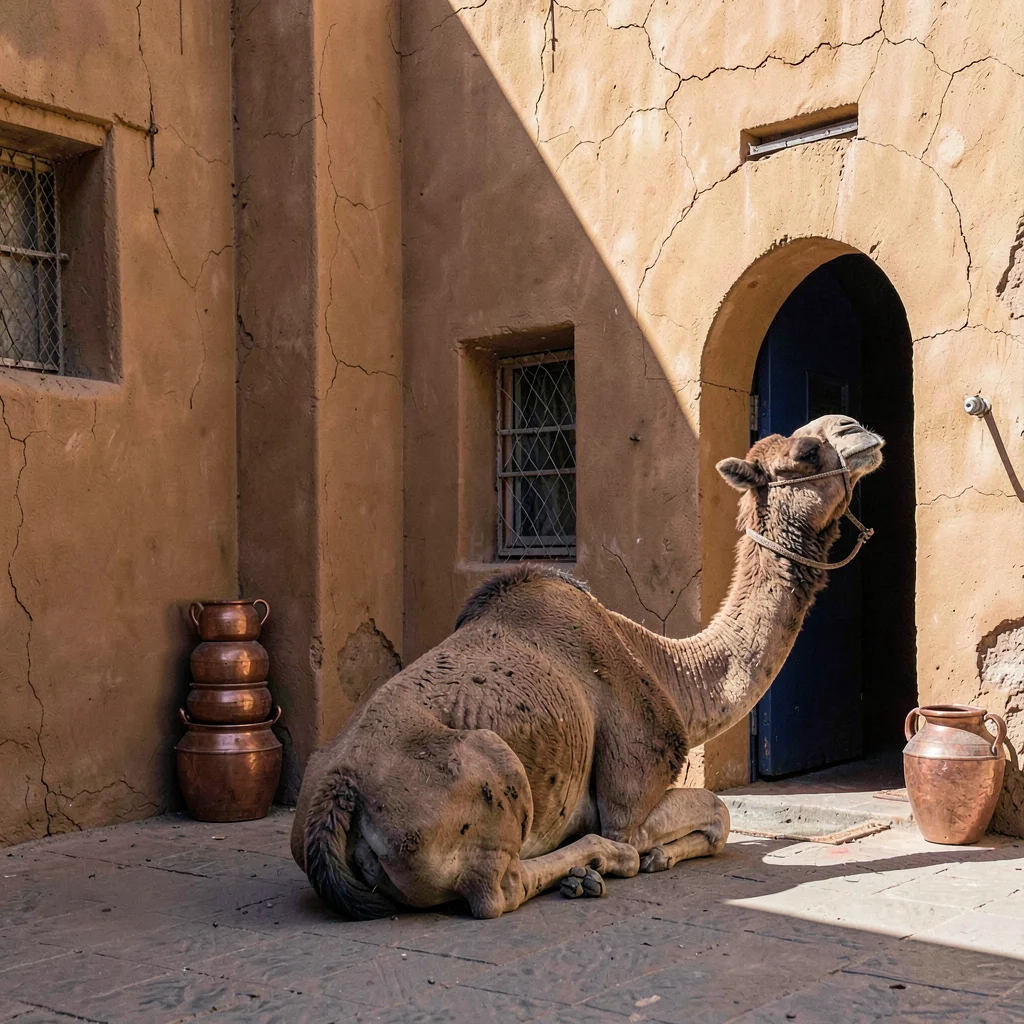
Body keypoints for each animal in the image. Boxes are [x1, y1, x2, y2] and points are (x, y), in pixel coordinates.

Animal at [291, 414, 884, 919]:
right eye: (806, 452)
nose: (858, 429)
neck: (669, 671)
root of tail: (336, 794)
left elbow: (717, 816)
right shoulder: (629, 793)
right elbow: (716, 812)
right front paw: (646, 855)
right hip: (489, 772)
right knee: (497, 889)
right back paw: (591, 868)